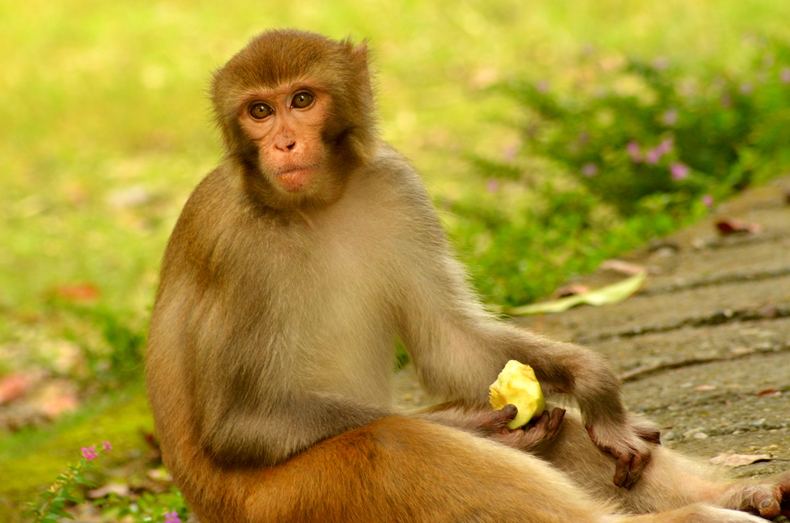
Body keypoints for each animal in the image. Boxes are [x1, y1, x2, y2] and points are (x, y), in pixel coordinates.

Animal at [145, 29, 789, 522]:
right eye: (259, 110)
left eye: (301, 99)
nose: (282, 142)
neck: (314, 206)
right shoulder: (235, 246)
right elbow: (239, 425)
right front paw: (472, 422)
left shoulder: (395, 185)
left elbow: (449, 344)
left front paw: (594, 383)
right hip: (294, 503)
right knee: (396, 443)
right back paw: (697, 514)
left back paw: (740, 493)